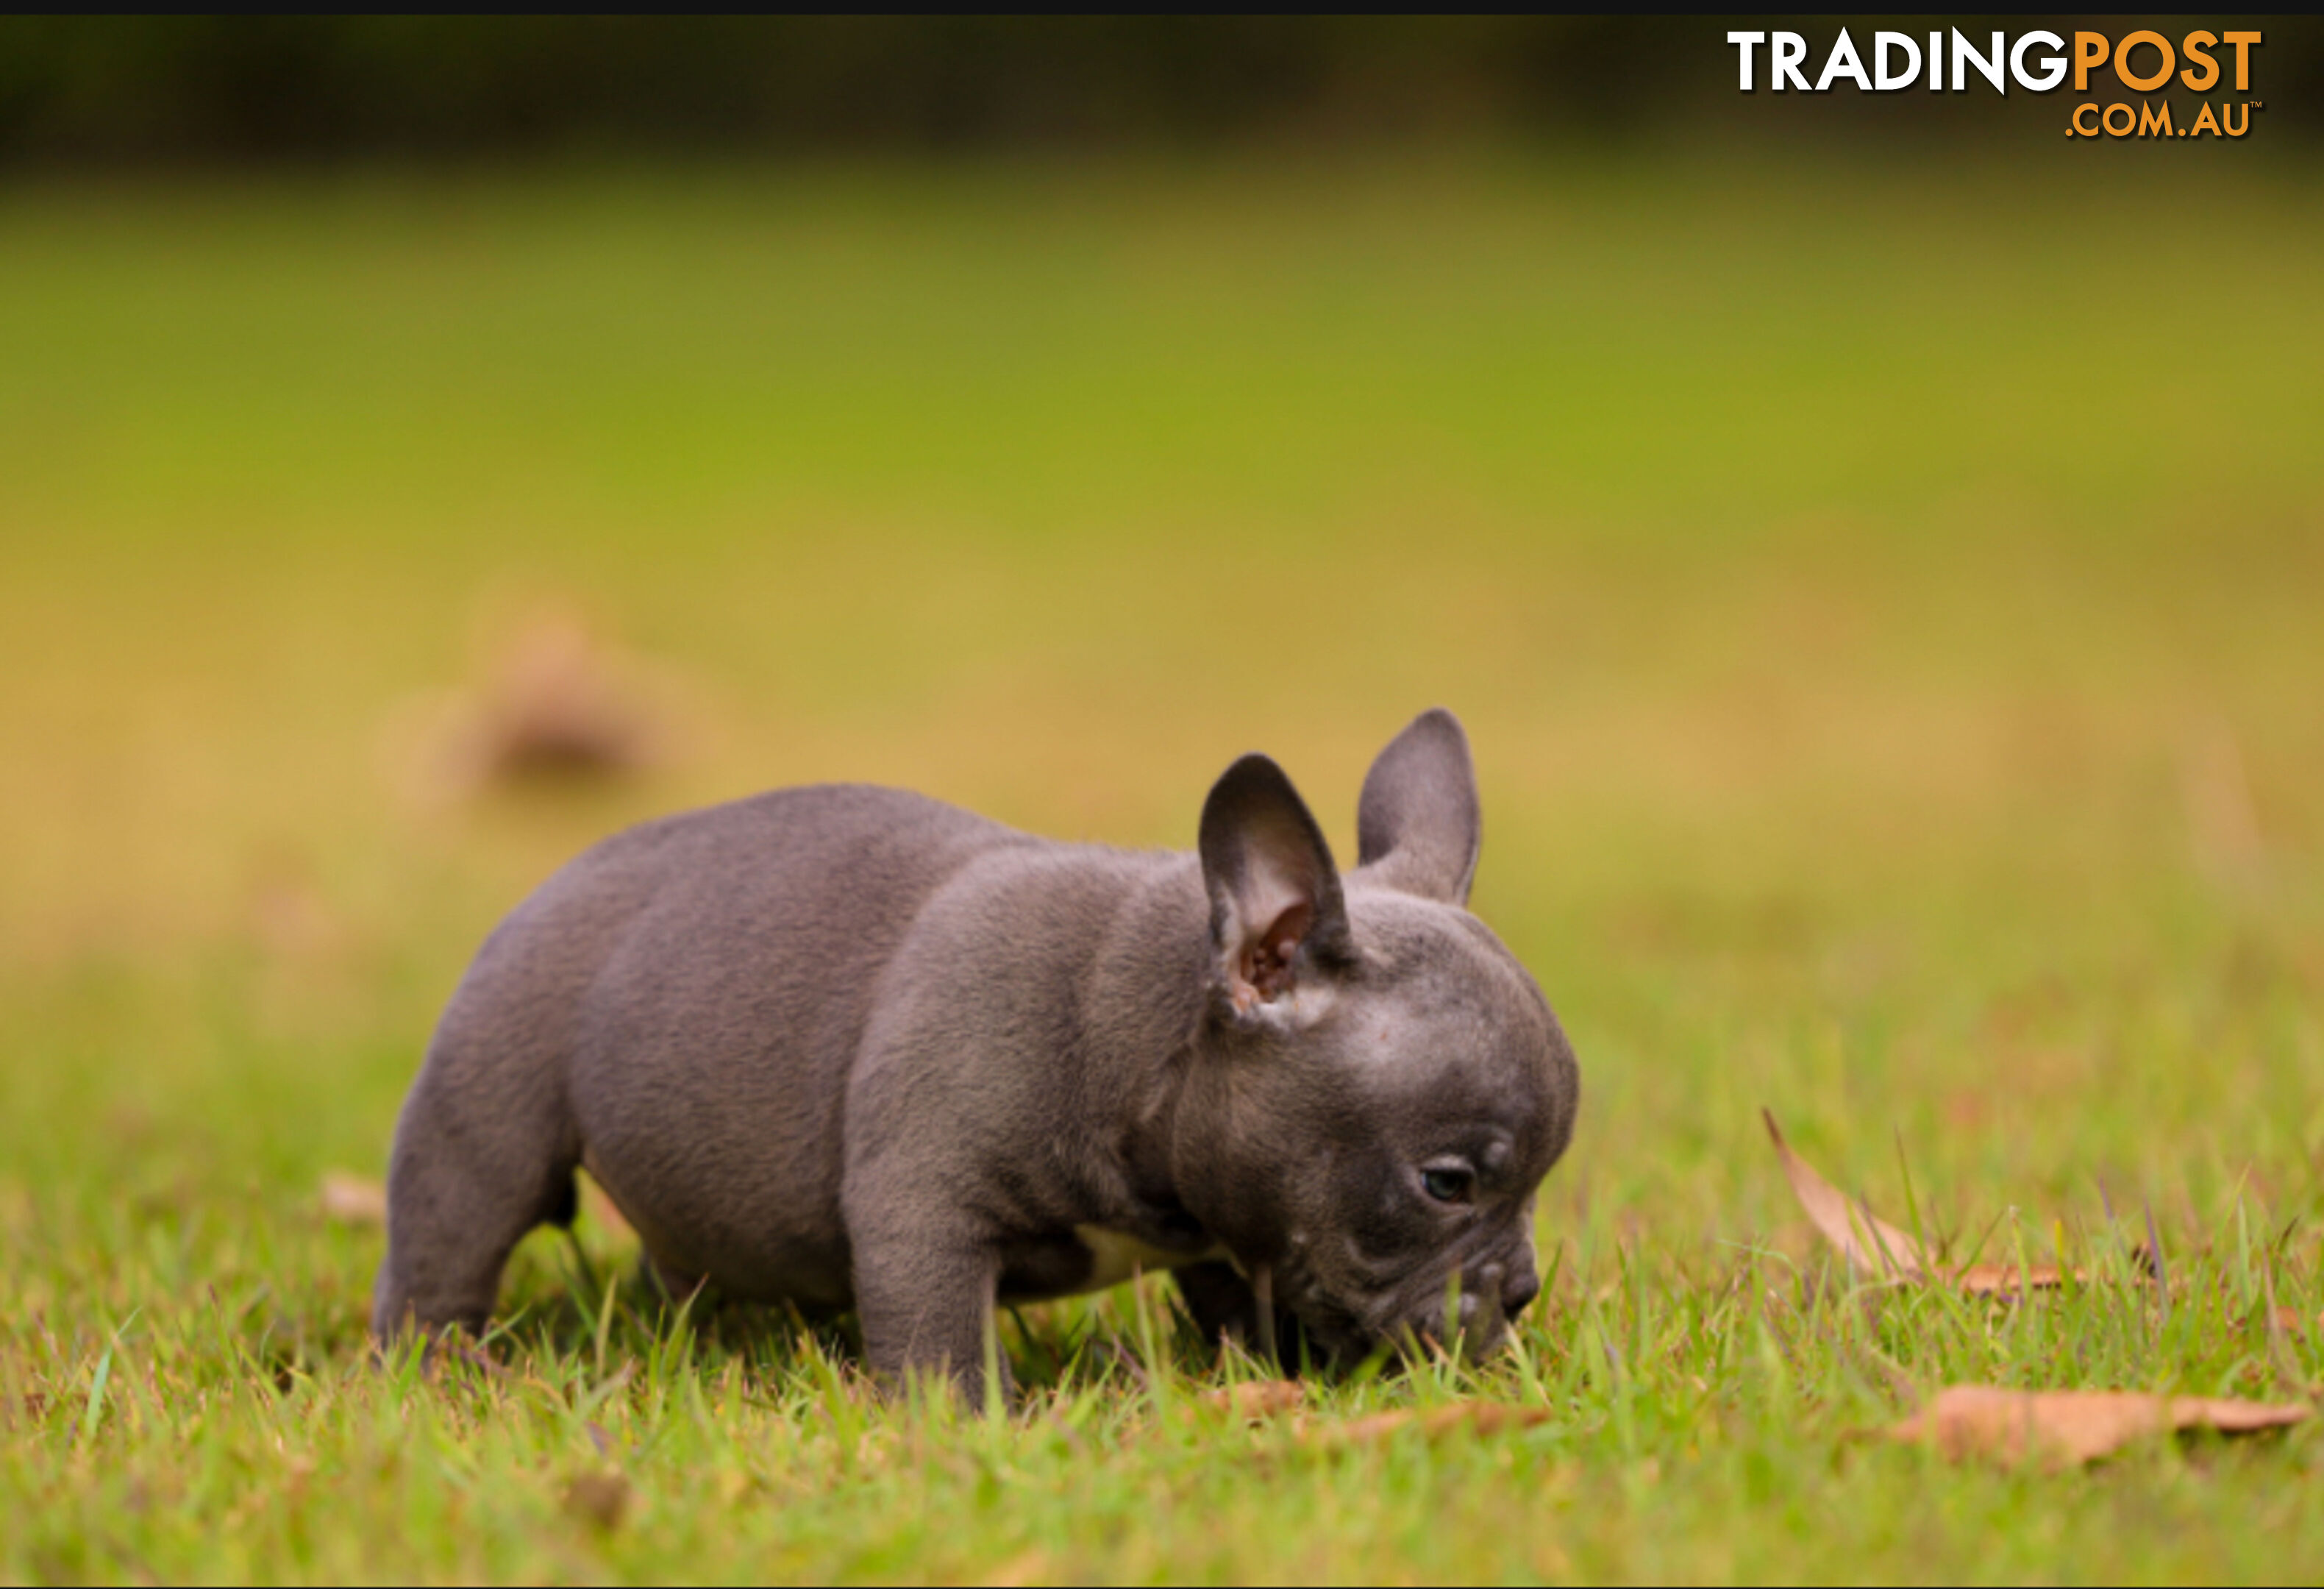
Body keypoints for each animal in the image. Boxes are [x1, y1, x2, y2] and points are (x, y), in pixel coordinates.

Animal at [376, 706, 1580, 1393]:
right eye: (1445, 1183)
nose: (1519, 1290)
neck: (1126, 1029)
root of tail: (567, 870)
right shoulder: (924, 1215)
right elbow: (939, 1340)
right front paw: (957, 1430)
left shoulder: (1226, 1224)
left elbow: (1241, 1294)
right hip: (487, 1109)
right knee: (449, 1240)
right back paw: (435, 1371)